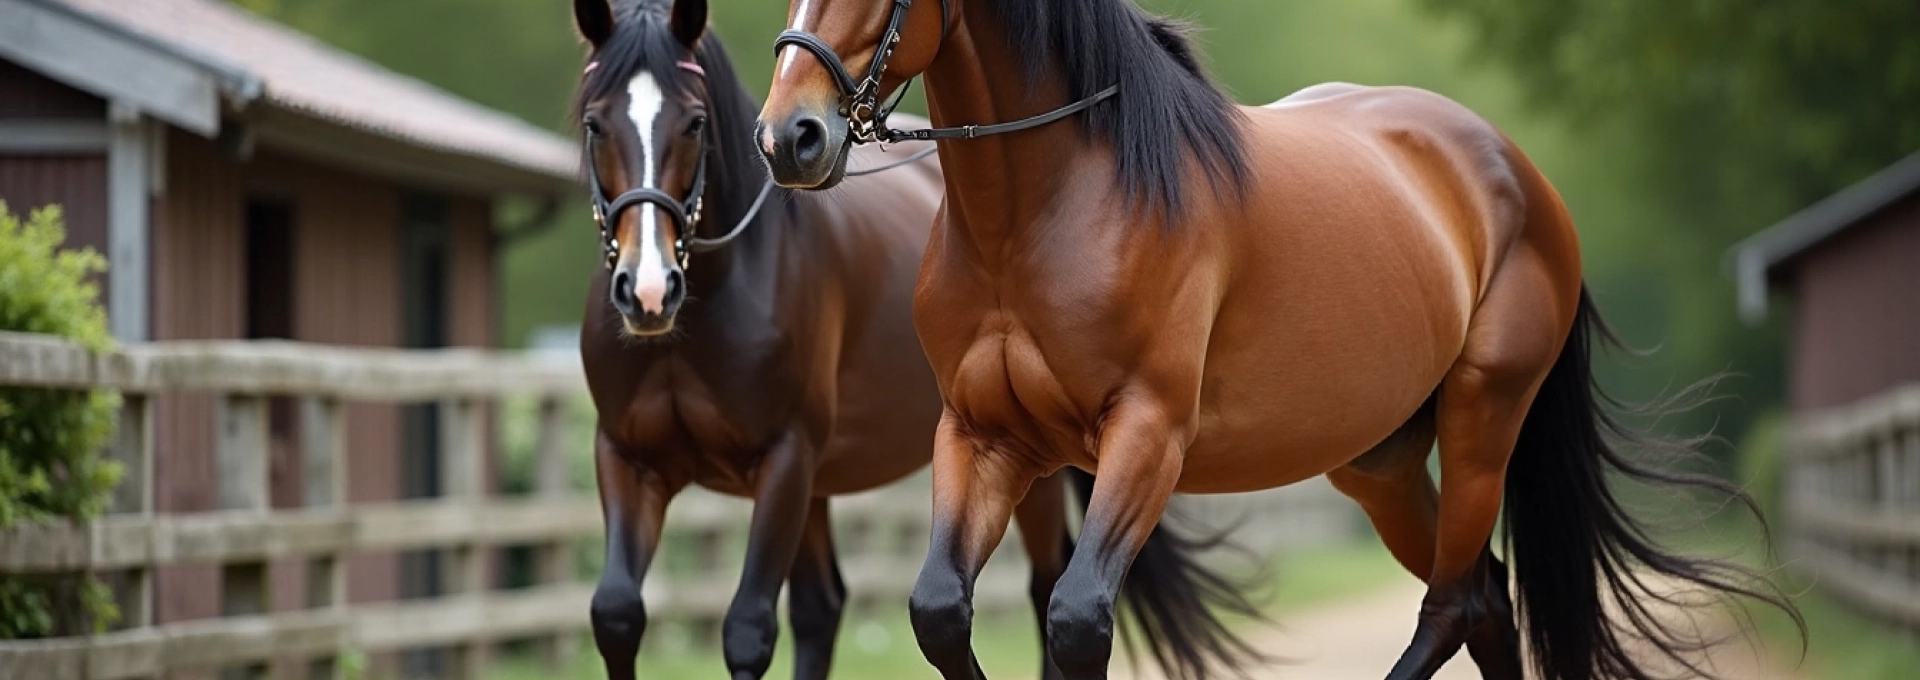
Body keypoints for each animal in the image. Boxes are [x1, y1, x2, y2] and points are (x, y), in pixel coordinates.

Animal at [569, 1, 1260, 679]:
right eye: (593, 124)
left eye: (693, 123)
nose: (649, 289)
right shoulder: (627, 458)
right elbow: (616, 613)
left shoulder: (784, 461)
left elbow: (746, 630)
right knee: (821, 608)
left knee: (1042, 585)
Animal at [754, 0, 1805, 679]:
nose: (789, 138)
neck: (1051, 210)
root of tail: (1515, 171)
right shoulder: (986, 436)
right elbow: (939, 614)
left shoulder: (1147, 436)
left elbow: (1080, 619)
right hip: (1380, 464)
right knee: (1486, 605)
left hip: (1483, 424)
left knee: (1455, 604)